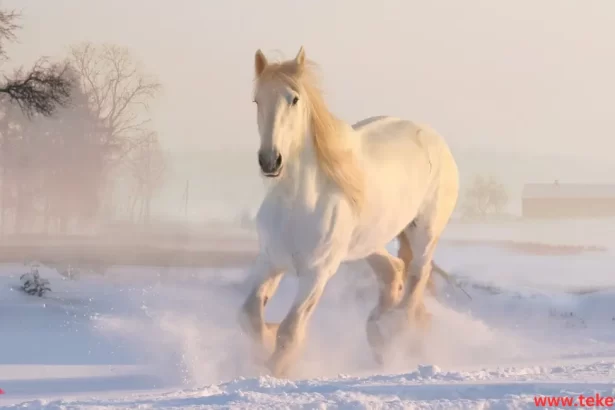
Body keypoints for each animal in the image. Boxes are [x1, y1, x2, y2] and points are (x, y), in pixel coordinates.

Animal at [238, 46, 460, 376]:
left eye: (294, 99)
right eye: (257, 100)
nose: (270, 160)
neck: (298, 203)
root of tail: (432, 137)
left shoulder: (317, 274)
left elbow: (290, 332)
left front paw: (274, 369)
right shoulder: (270, 261)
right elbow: (250, 316)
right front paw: (264, 345)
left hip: (424, 234)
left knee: (416, 279)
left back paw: (391, 332)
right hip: (367, 242)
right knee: (393, 270)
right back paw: (377, 331)